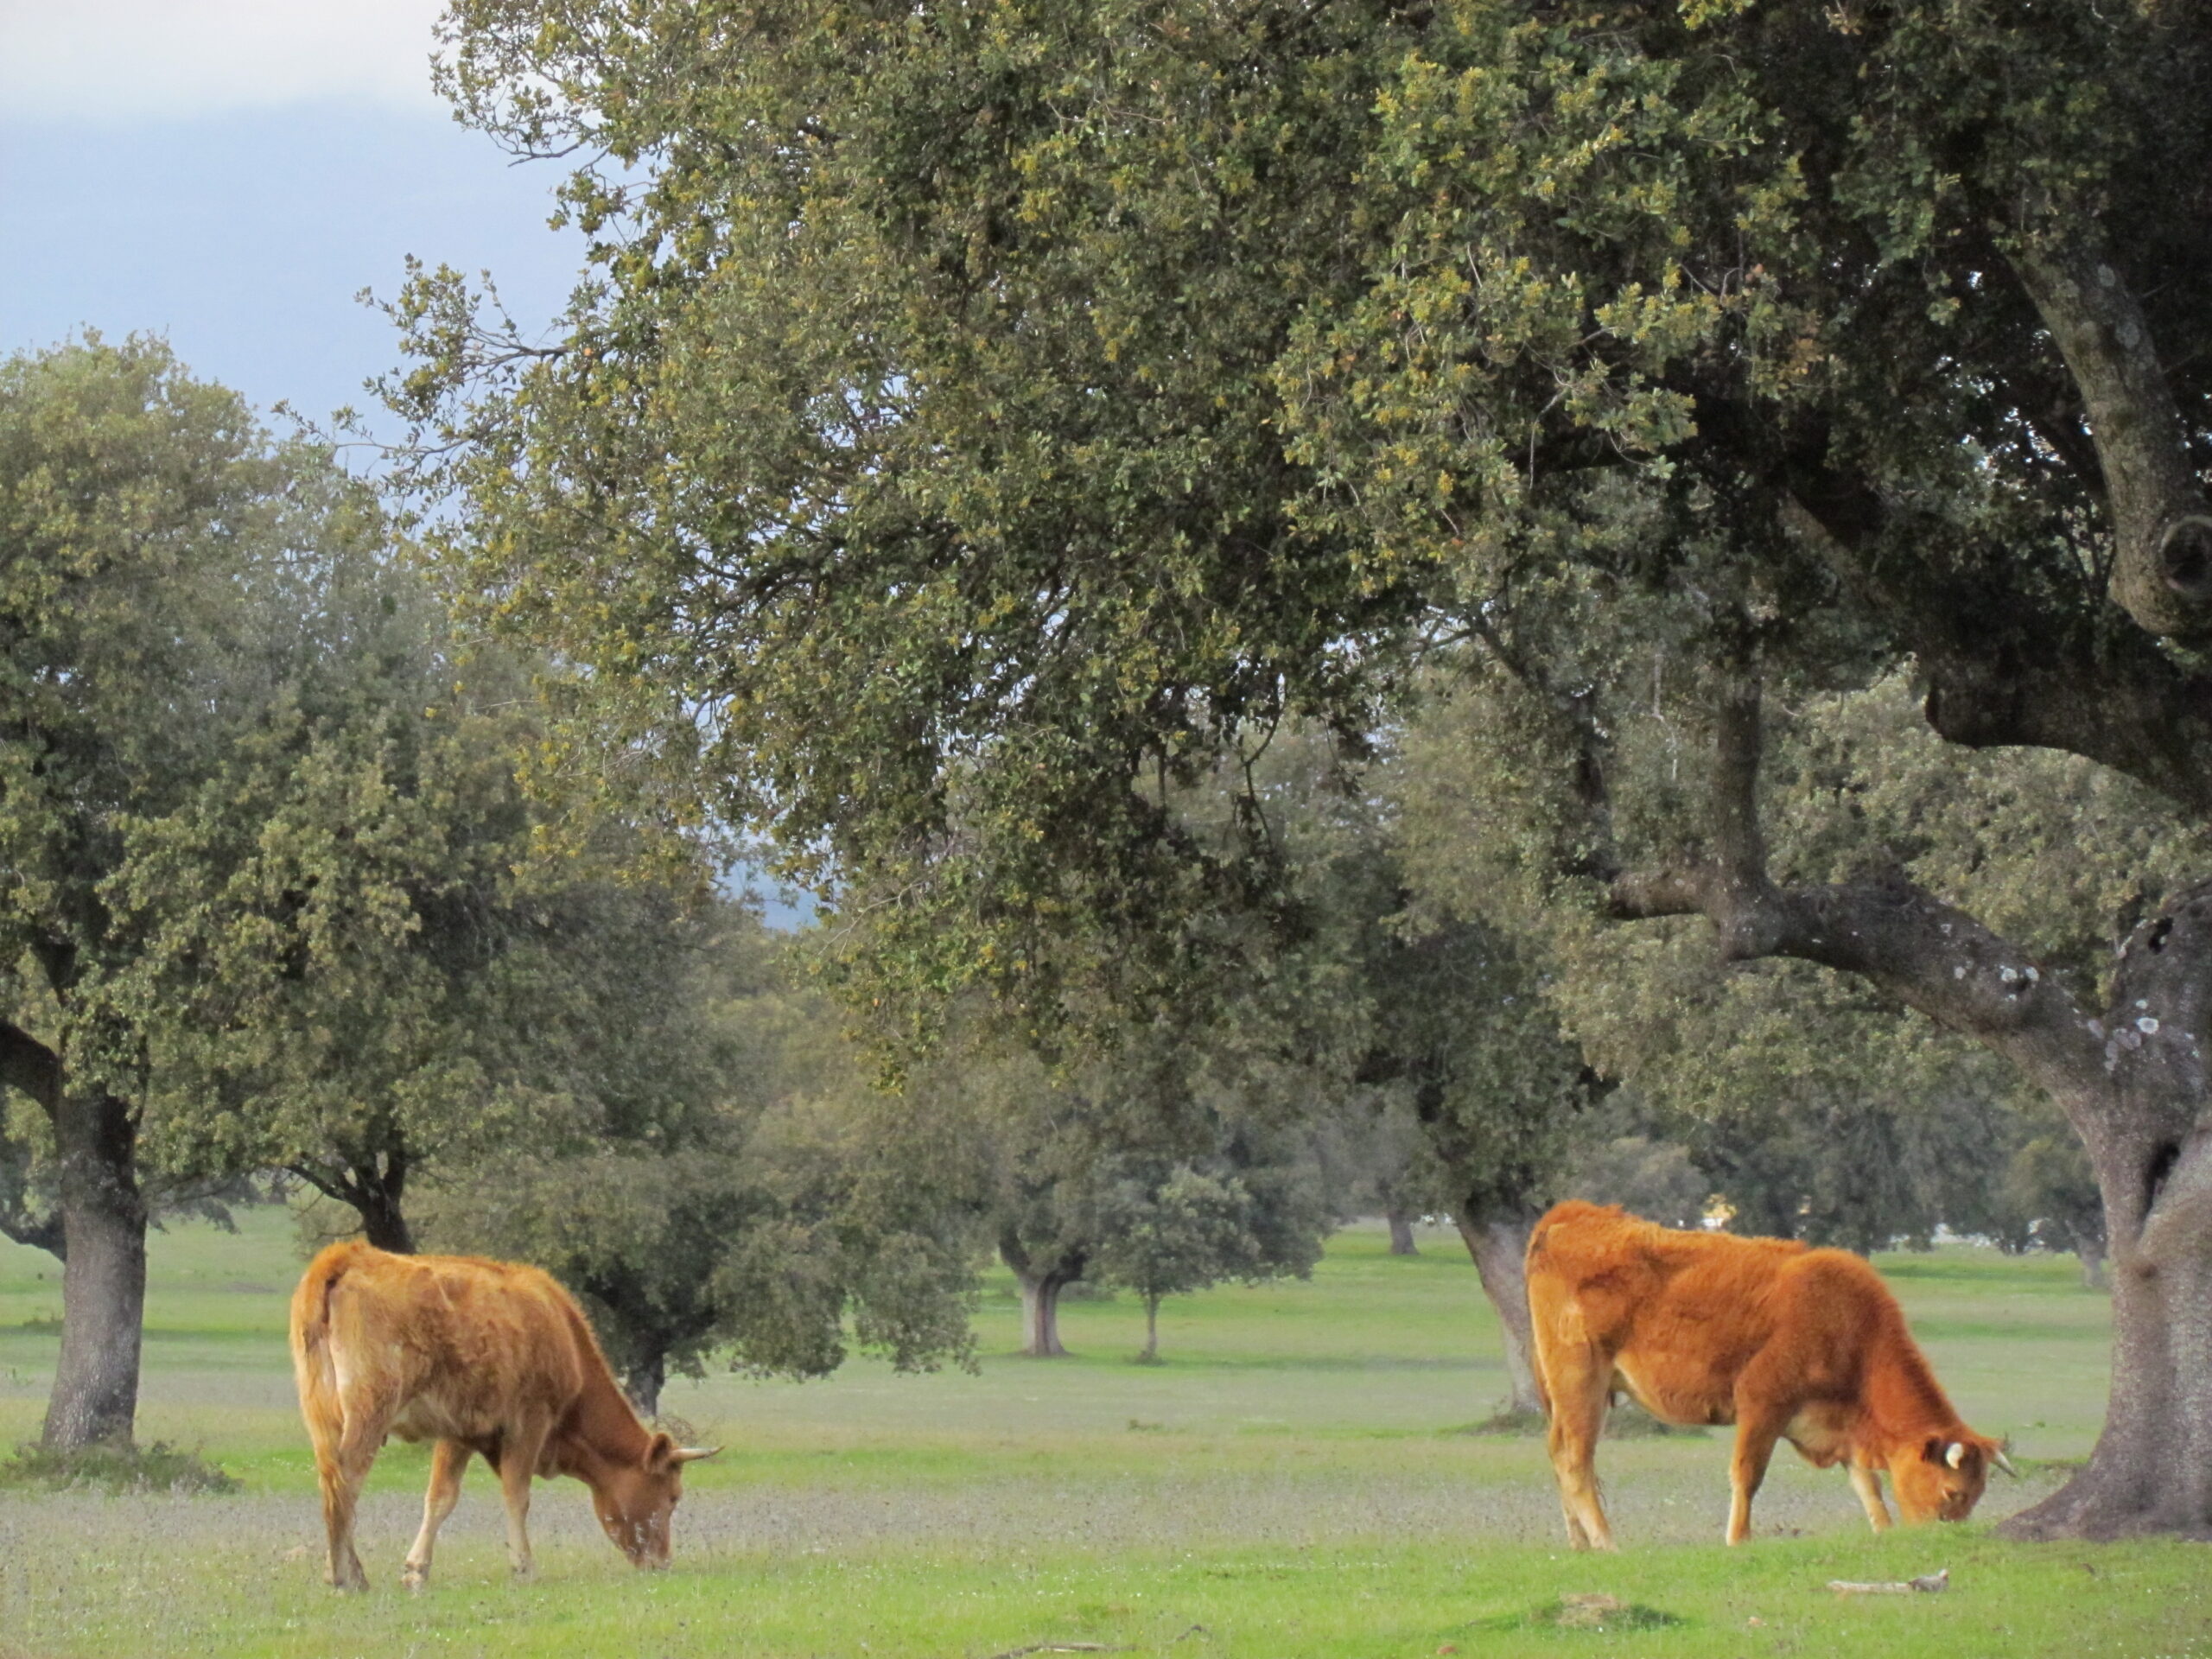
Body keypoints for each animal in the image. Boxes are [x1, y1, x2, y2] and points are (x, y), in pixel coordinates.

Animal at [287, 1247, 716, 1601]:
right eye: (673, 1497)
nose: (662, 1563)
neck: (561, 1329)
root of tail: (347, 1256)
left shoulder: (458, 1432)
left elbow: (440, 1498)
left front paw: (416, 1571)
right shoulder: (529, 1421)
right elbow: (517, 1494)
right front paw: (523, 1566)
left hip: (323, 1416)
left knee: (332, 1484)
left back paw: (350, 1572)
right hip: (368, 1414)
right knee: (346, 1484)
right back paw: (344, 1576)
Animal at [1530, 1203, 2017, 1557]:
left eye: (1976, 1494)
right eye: (1953, 1492)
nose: (1942, 1537)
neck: (1845, 1321)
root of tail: (1569, 1214)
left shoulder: (1843, 1424)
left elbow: (1868, 1484)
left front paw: (1882, 1528)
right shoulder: (1763, 1405)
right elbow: (1748, 1474)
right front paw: (1739, 1539)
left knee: (1557, 1454)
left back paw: (1579, 1543)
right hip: (1581, 1383)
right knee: (1576, 1460)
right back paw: (1606, 1541)